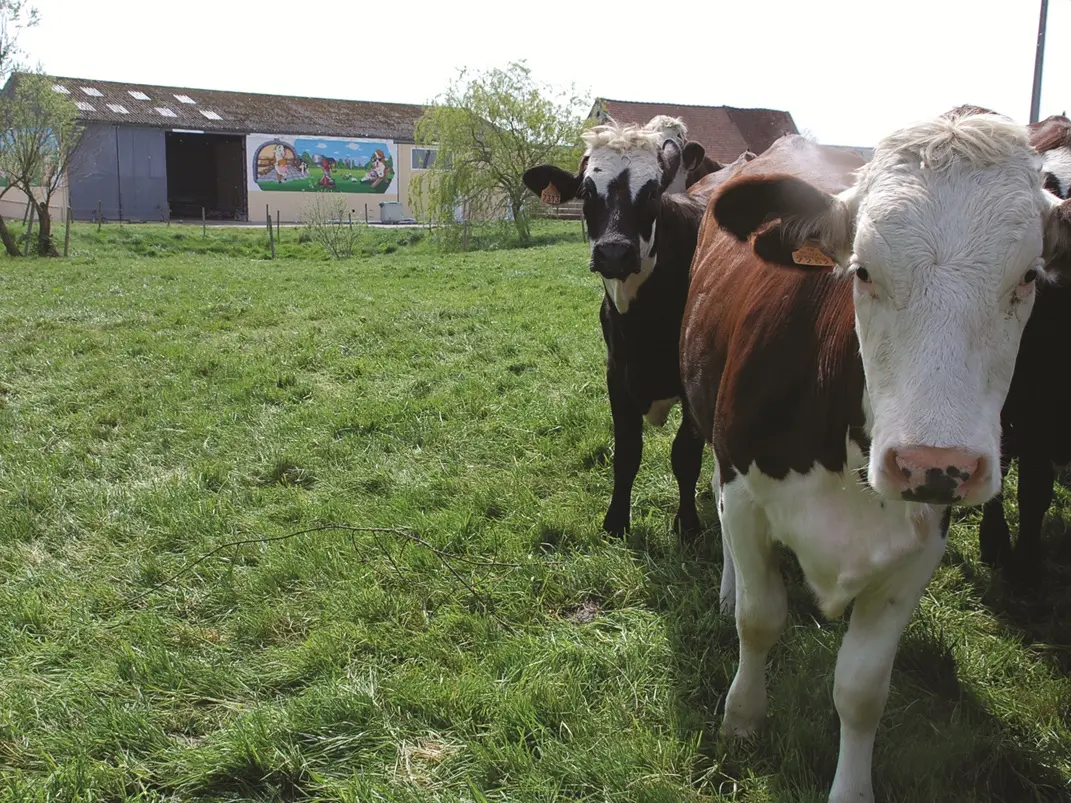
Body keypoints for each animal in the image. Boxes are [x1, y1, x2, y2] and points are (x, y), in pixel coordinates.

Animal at [521, 118, 710, 539]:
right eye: (587, 191)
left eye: (653, 191)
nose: (613, 252)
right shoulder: (616, 374)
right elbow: (626, 452)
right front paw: (616, 521)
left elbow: (685, 455)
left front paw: (687, 524)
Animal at [680, 106, 1071, 803]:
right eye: (862, 270)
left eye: (1029, 277)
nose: (932, 461)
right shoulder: (745, 492)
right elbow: (759, 618)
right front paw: (742, 720)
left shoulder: (921, 546)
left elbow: (861, 689)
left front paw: (851, 786)